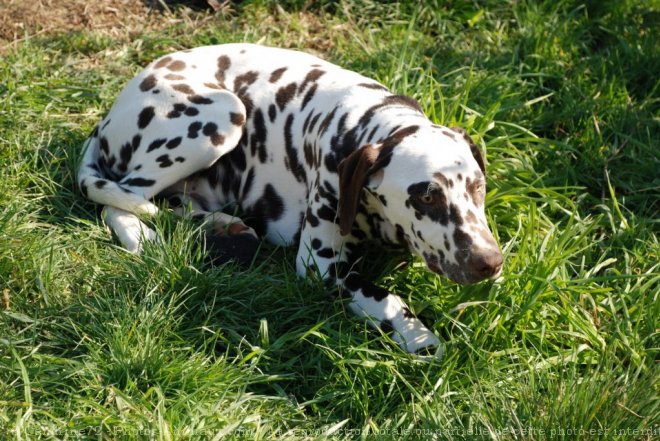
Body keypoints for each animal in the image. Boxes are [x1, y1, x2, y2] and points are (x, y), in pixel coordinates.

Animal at [77, 43, 502, 356]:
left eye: (478, 187)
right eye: (427, 196)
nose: (490, 263)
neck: (366, 123)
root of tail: (105, 120)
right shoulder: (320, 265)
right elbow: (387, 297)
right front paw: (416, 335)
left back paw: (221, 226)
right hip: (222, 116)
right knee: (119, 201)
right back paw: (145, 240)